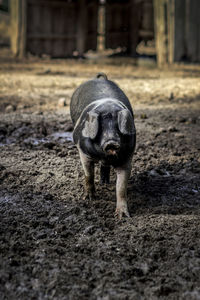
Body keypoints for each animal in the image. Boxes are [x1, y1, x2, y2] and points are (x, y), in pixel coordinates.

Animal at [70, 72, 136, 218]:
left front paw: (122, 216)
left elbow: (121, 187)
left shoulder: (127, 158)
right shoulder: (83, 152)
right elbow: (89, 175)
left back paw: (105, 183)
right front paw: (89, 199)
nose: (111, 142)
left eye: (118, 128)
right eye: (101, 129)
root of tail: (99, 78)